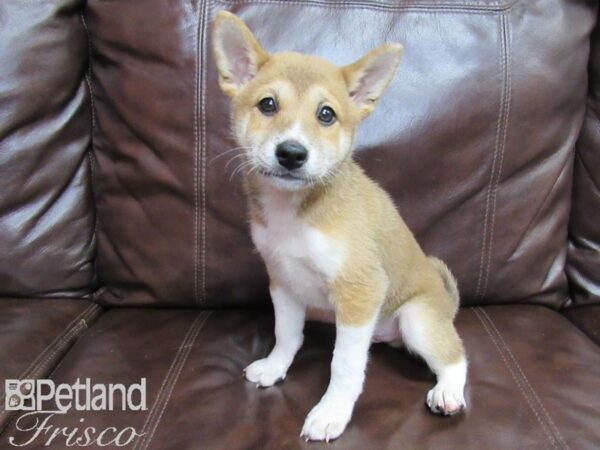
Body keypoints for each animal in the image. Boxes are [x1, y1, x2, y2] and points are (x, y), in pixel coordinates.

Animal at [213, 11, 466, 442]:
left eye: (326, 114)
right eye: (268, 104)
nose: (291, 153)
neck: (295, 212)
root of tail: (446, 303)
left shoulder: (359, 291)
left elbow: (344, 365)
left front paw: (331, 412)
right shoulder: (283, 281)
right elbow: (286, 334)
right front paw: (275, 367)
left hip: (416, 319)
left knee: (456, 357)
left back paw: (448, 391)